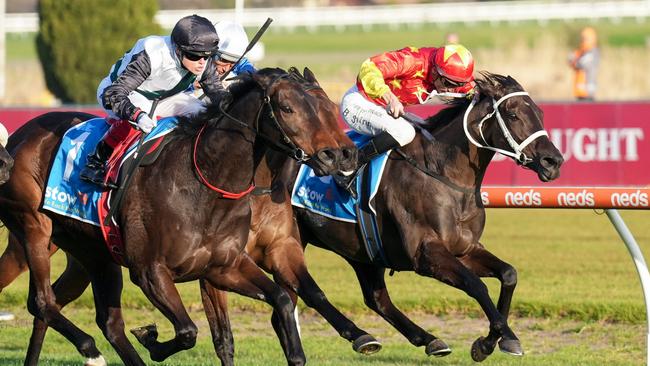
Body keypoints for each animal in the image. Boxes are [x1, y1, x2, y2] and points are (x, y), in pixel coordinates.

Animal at [0, 66, 354, 366]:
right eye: (287, 108)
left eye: (327, 106)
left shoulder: (224, 266)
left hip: (94, 251)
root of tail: (18, 137)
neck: (206, 183)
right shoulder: (150, 271)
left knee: (106, 321)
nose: (338, 154)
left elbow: (281, 298)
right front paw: (152, 339)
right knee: (42, 301)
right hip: (33, 228)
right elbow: (188, 332)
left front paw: (299, 351)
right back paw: (90, 350)